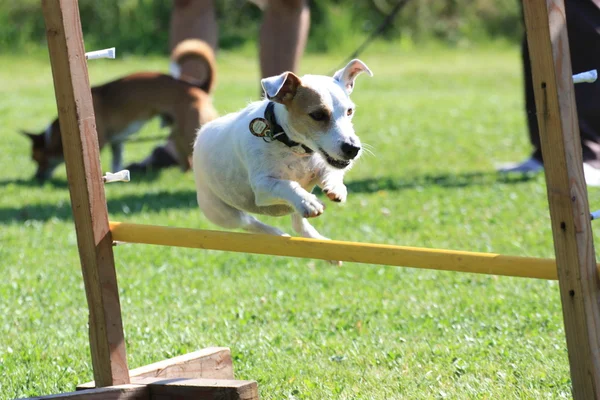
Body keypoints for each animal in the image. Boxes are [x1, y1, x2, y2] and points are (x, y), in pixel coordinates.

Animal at [22, 39, 218, 181]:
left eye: (37, 159)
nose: (36, 178)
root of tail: (196, 87)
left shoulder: (101, 140)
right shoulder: (117, 142)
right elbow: (117, 160)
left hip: (189, 133)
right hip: (177, 135)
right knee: (186, 162)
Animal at [193, 59, 370, 241]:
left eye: (349, 111)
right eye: (318, 115)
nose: (353, 149)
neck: (293, 148)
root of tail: (203, 130)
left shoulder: (320, 166)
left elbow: (331, 172)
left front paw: (335, 187)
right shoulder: (262, 188)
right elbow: (285, 184)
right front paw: (308, 201)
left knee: (298, 224)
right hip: (220, 212)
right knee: (249, 222)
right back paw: (277, 233)